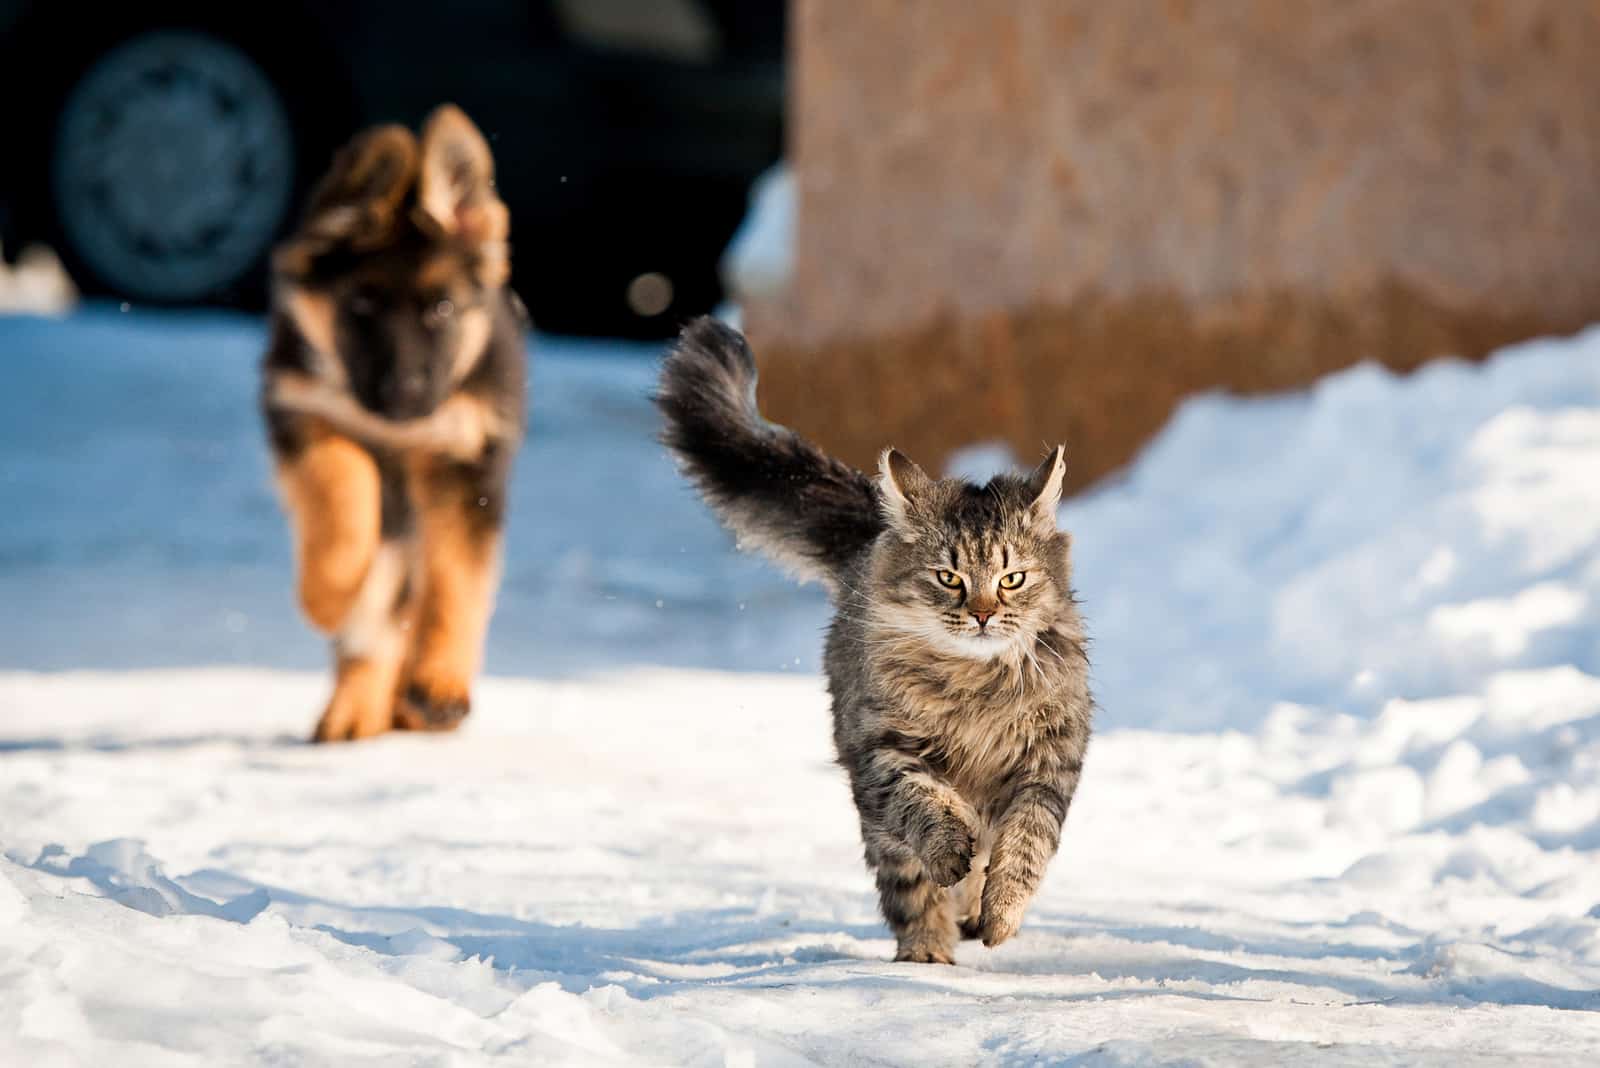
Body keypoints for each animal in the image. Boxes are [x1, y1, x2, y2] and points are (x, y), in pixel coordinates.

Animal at [259, 108, 528, 741]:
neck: (400, 435)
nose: (405, 393)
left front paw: (439, 684)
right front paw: (327, 598)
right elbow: (342, 500)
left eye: (442, 308)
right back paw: (355, 708)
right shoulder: (305, 418)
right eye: (361, 304)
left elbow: (456, 580)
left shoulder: (466, 466)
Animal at [656, 314, 1094, 959]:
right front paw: (951, 850)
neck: (976, 686)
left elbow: (1025, 844)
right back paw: (927, 954)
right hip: (875, 818)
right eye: (949, 578)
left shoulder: (1050, 759)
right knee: (910, 888)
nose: (983, 614)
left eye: (1011, 579)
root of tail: (871, 538)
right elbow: (928, 804)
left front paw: (1002, 912)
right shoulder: (884, 748)